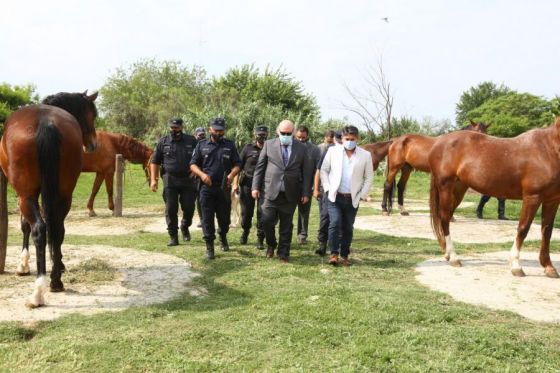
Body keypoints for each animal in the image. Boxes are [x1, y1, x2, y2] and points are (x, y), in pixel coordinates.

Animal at [0, 91, 98, 306]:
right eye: (93, 115)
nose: (94, 144)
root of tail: (46, 123)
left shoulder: (26, 195)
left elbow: (25, 226)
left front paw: (23, 265)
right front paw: (58, 263)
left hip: (26, 196)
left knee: (39, 229)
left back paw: (38, 292)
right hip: (64, 195)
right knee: (57, 228)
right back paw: (56, 281)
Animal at [430, 117, 560, 278]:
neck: (549, 149)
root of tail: (438, 142)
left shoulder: (552, 200)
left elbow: (547, 232)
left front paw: (549, 267)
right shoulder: (533, 197)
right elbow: (523, 229)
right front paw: (516, 266)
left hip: (458, 189)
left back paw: (448, 254)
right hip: (445, 187)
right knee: (444, 219)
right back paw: (454, 258)